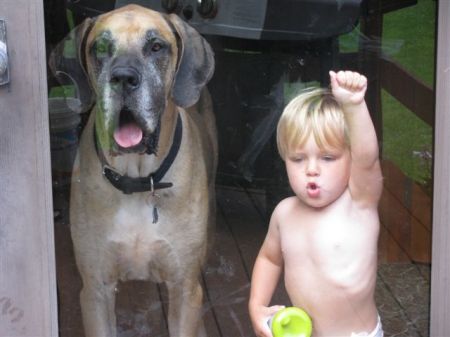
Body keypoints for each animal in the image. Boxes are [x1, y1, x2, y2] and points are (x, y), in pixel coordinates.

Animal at [51, 4, 216, 336]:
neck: (138, 180)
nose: (124, 78)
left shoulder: (184, 288)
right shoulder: (95, 290)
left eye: (156, 47)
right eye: (100, 48)